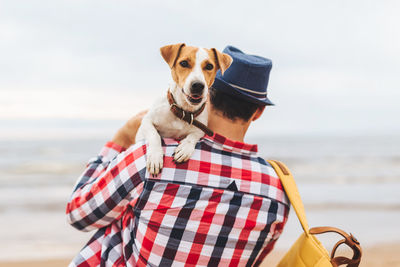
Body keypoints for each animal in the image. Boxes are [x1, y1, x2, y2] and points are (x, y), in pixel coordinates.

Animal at [136, 43, 233, 176]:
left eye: (209, 66)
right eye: (184, 63)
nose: (198, 85)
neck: (183, 111)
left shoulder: (201, 128)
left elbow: (194, 136)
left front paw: (185, 148)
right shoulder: (147, 121)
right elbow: (154, 135)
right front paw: (155, 157)